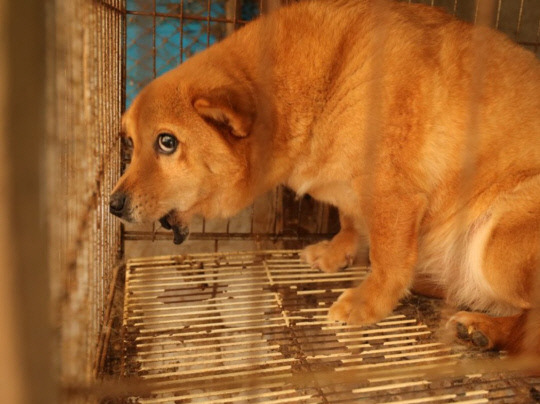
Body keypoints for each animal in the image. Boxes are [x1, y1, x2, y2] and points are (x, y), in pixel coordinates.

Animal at [110, 0, 540, 356]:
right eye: (129, 142)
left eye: (167, 142)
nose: (113, 205)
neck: (324, 83)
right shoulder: (352, 193)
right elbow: (349, 221)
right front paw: (338, 252)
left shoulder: (394, 196)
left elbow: (387, 262)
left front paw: (368, 301)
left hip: (497, 241)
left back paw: (486, 329)